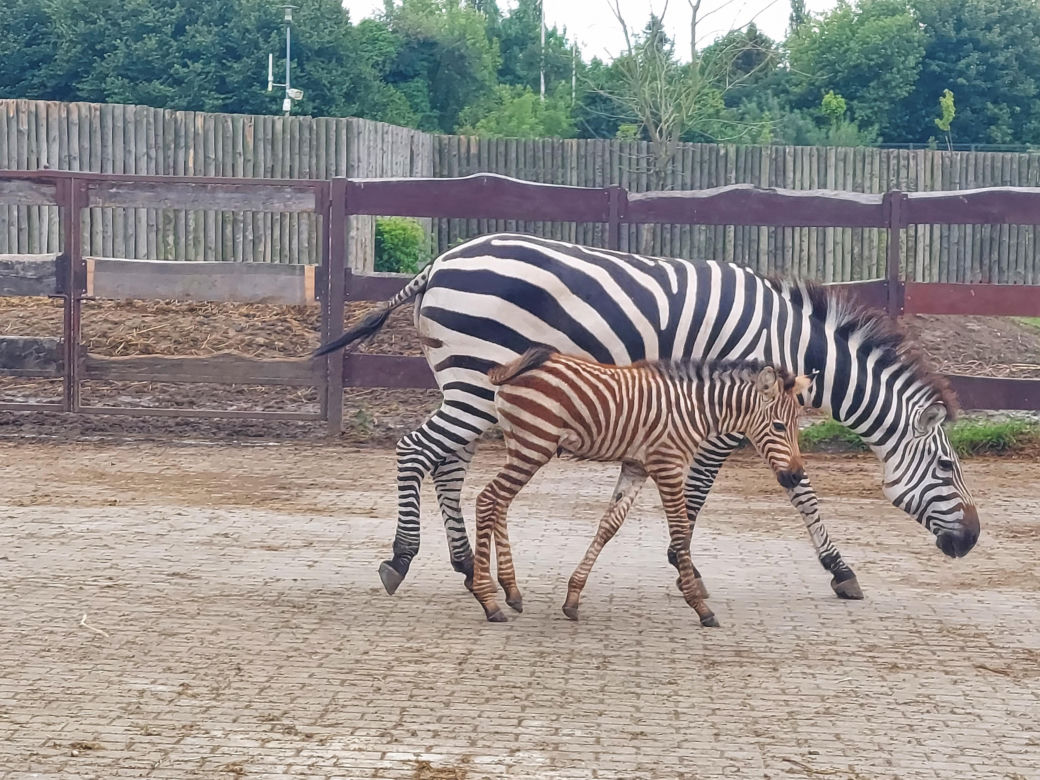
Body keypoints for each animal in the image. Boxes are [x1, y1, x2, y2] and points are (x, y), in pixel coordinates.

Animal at [472, 347, 813, 626]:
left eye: (797, 425)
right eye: (779, 426)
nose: (796, 476)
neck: (694, 410)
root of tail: (511, 368)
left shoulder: (636, 467)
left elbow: (609, 525)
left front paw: (572, 598)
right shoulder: (668, 466)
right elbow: (680, 530)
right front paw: (700, 606)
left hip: (522, 447)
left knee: (499, 502)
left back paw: (511, 591)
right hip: (533, 446)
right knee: (487, 500)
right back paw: (488, 600)